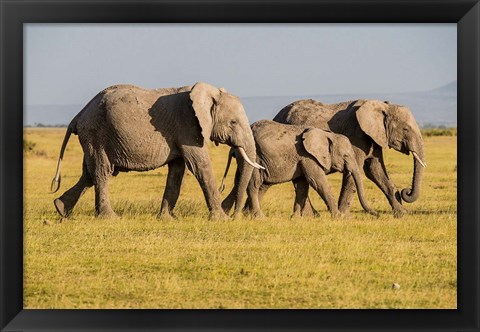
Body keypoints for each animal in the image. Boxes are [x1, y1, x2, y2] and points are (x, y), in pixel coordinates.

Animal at [50, 81, 262, 219]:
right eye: (233, 122)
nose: (235, 216)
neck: (208, 93)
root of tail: (79, 114)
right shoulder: (188, 126)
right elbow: (200, 166)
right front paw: (221, 220)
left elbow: (177, 171)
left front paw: (167, 219)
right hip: (96, 133)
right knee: (102, 172)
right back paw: (110, 218)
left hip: (93, 137)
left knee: (89, 173)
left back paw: (61, 209)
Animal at [220, 120, 378, 219]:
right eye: (346, 156)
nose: (377, 214)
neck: (327, 134)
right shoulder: (308, 157)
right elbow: (317, 182)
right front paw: (338, 217)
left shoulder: (303, 159)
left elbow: (302, 185)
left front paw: (296, 218)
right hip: (256, 158)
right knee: (253, 184)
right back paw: (257, 217)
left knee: (248, 183)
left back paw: (241, 214)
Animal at [272, 98, 426, 218]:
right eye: (405, 129)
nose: (406, 191)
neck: (382, 106)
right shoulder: (356, 136)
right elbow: (355, 172)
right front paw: (344, 216)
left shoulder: (374, 137)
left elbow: (376, 171)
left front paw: (403, 213)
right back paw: (311, 215)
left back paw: (312, 215)